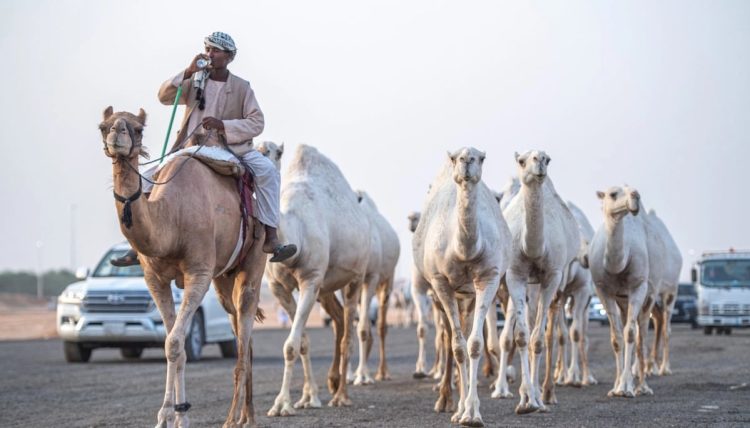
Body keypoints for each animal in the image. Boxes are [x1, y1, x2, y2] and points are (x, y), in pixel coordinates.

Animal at [262, 143, 374, 414]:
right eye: (255, 148)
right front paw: (307, 397)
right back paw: (331, 383)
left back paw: (341, 395)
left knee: (347, 335)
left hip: (355, 277)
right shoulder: (278, 287)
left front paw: (282, 404)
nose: (262, 161)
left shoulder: (311, 279)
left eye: (276, 152)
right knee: (338, 320)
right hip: (326, 287)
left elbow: (291, 346)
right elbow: (301, 342)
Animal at [412, 147, 512, 424]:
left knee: (466, 336)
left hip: (468, 295)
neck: (465, 251)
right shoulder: (440, 283)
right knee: (449, 338)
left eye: (481, 157)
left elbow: (474, 344)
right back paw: (446, 401)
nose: (467, 161)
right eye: (455, 157)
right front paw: (461, 409)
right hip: (443, 294)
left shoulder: (488, 278)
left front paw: (472, 413)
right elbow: (457, 347)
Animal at [494, 150, 580, 412]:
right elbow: (522, 336)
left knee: (544, 330)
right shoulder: (515, 275)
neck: (533, 248)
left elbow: (538, 340)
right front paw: (525, 400)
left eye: (547, 159)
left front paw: (536, 400)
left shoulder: (552, 276)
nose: (539, 163)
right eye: (521, 160)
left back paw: (544, 393)